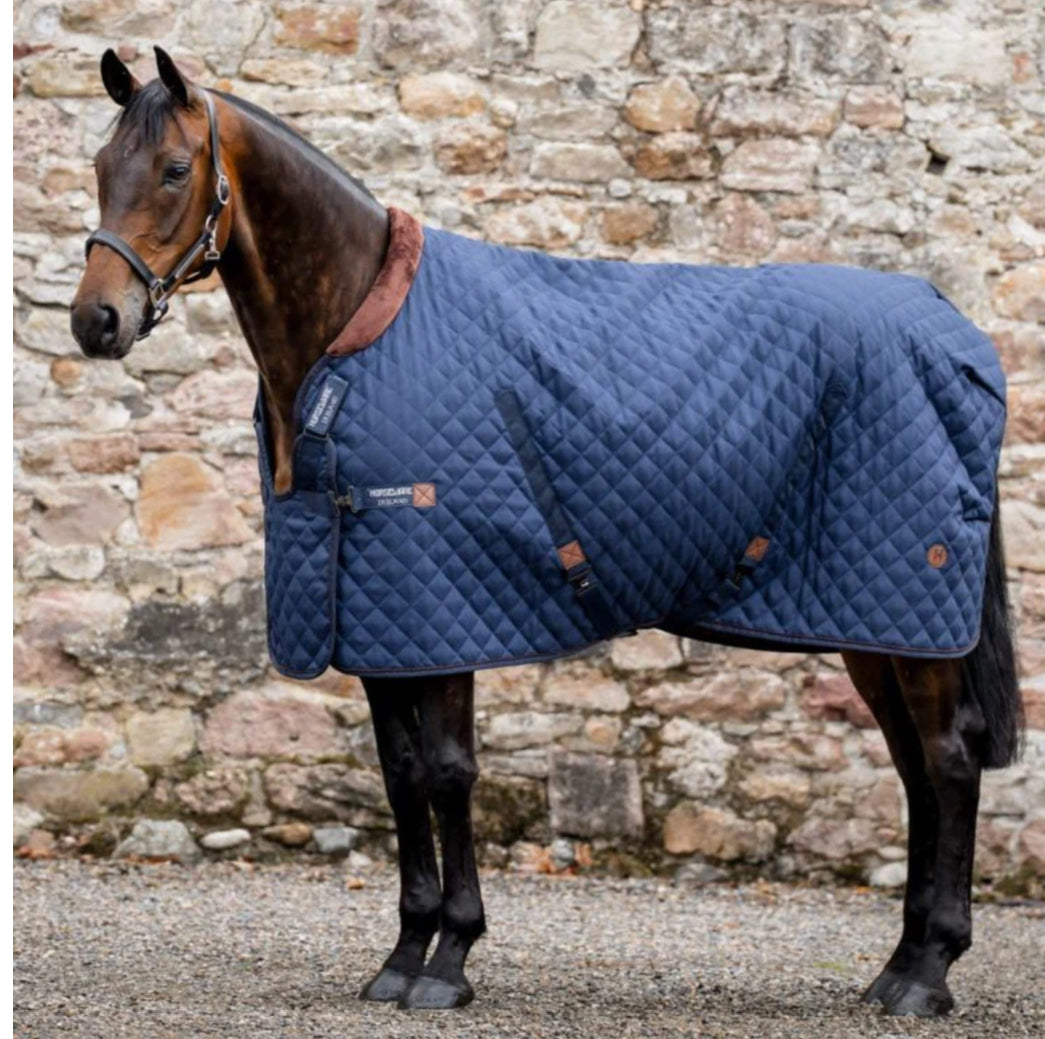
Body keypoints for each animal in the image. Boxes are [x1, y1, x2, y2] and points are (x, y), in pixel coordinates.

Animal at [70, 48, 1024, 1017]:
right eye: (103, 168)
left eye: (175, 170)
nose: (95, 320)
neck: (360, 333)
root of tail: (956, 337)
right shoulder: (372, 615)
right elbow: (399, 772)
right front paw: (402, 953)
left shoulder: (439, 608)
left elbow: (447, 770)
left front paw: (449, 957)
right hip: (875, 626)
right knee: (913, 767)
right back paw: (897, 965)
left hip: (910, 618)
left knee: (948, 760)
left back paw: (928, 971)